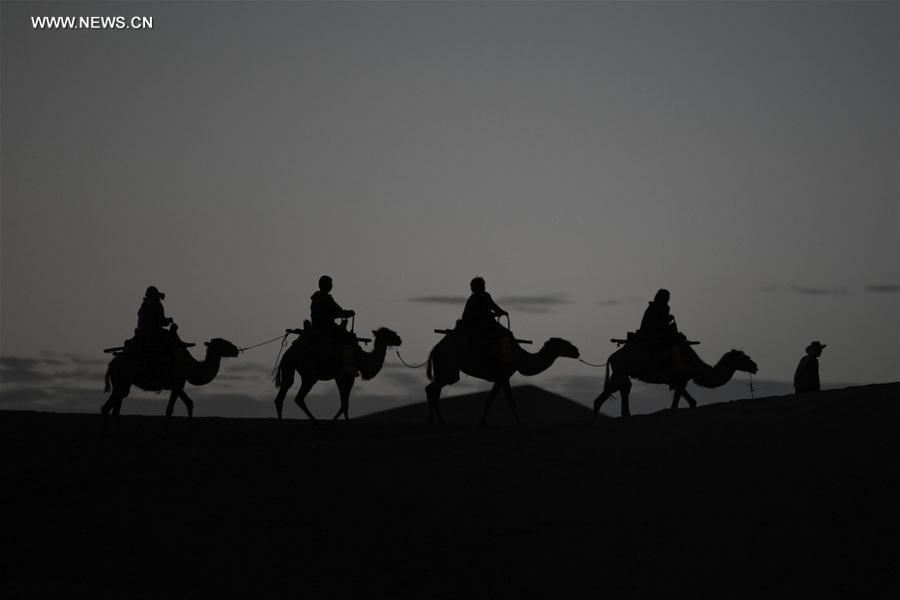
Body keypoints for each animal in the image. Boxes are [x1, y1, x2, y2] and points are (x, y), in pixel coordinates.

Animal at [101, 338, 239, 422]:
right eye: (224, 344)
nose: (236, 350)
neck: (191, 367)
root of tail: (111, 364)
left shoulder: (178, 385)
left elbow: (189, 403)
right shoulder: (177, 384)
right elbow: (169, 410)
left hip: (121, 385)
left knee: (115, 410)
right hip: (122, 382)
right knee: (106, 408)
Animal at [272, 328, 402, 422]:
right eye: (389, 334)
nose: (399, 339)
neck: (362, 359)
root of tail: (288, 354)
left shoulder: (339, 377)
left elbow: (343, 402)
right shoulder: (349, 376)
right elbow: (345, 403)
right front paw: (339, 421)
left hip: (290, 369)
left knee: (284, 392)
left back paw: (281, 422)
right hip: (310, 375)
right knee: (298, 397)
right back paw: (315, 421)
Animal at [426, 332, 580, 426]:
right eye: (564, 344)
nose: (576, 351)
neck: (521, 359)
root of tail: (436, 348)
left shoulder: (499, 378)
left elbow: (489, 399)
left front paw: (482, 423)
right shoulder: (504, 376)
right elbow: (511, 402)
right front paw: (520, 423)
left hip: (442, 369)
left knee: (435, 390)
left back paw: (439, 421)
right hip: (449, 367)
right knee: (431, 389)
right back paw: (434, 421)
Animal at [596, 342, 756, 418]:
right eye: (745, 357)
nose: (755, 366)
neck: (696, 366)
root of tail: (612, 356)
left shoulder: (679, 381)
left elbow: (692, 402)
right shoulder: (682, 379)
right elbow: (674, 407)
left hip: (620, 372)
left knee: (620, 389)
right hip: (621, 369)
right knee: (615, 390)